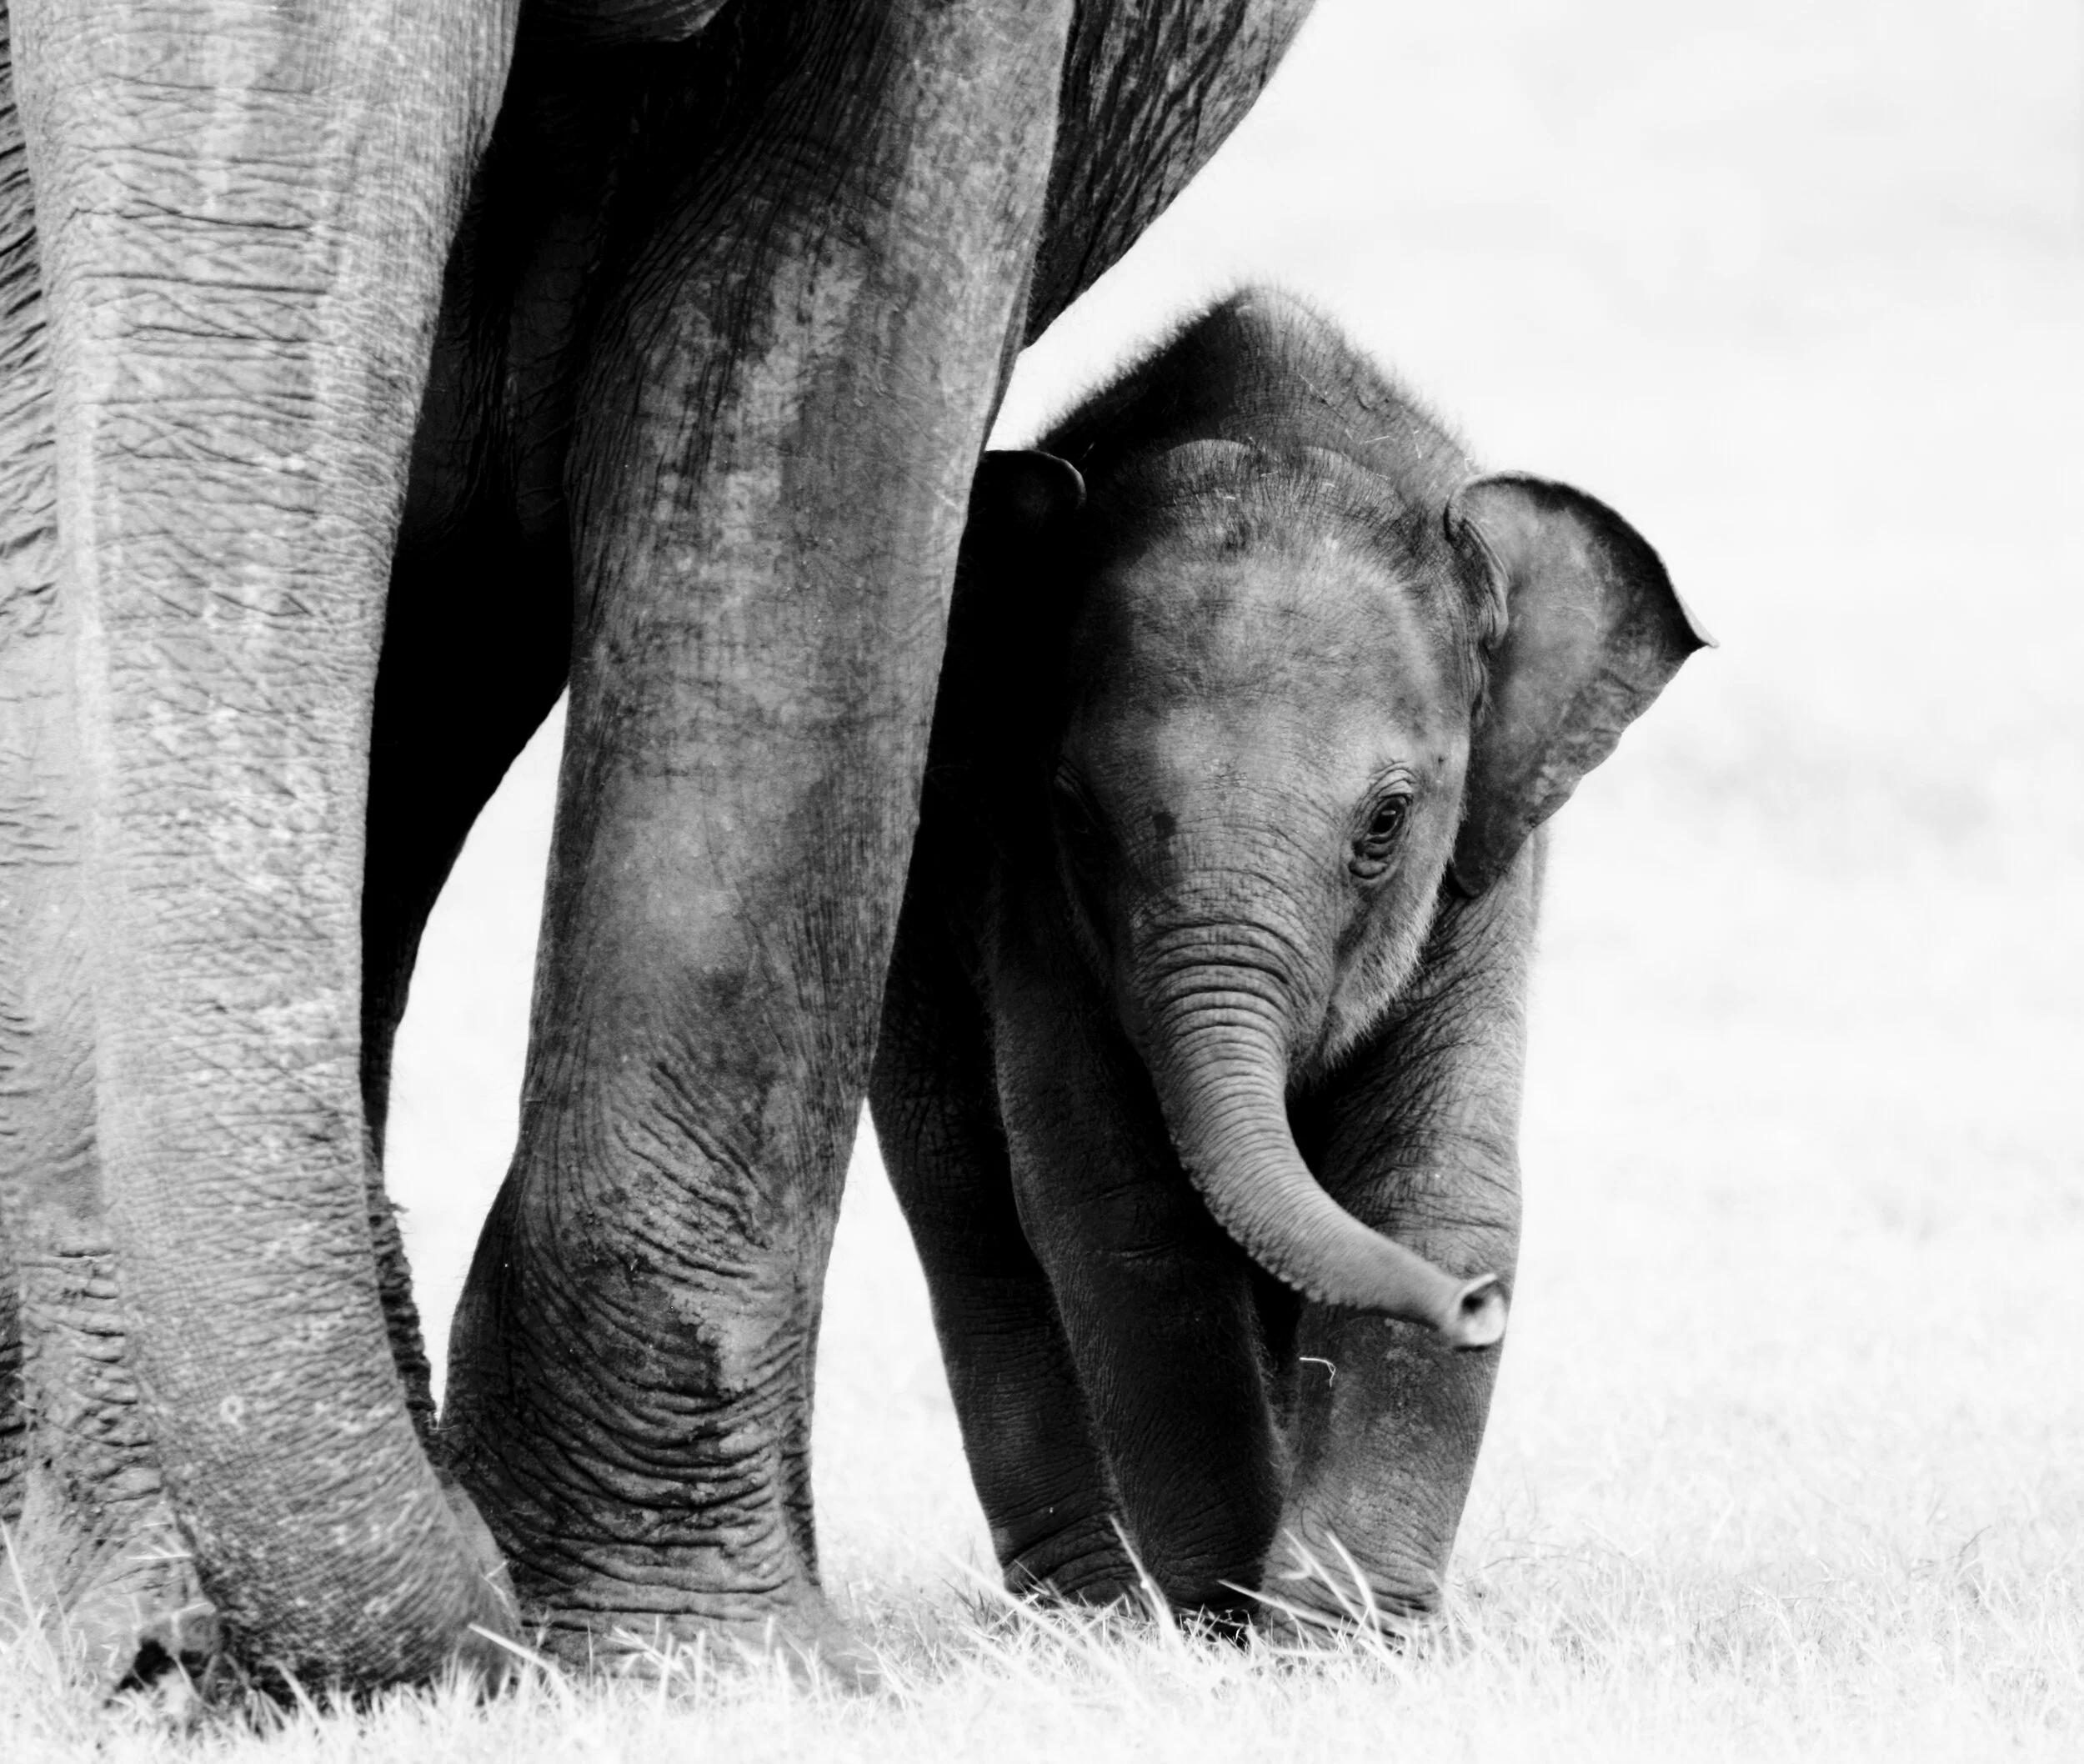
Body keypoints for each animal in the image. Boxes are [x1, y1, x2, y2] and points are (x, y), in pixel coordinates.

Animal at [868, 289, 1708, 1629]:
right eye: (1077, 812)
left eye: (1388, 821)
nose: (1478, 1314)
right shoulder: (1023, 878)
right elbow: (1114, 1198)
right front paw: (1228, 1625)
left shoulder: (1487, 869)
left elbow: (1432, 1185)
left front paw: (1339, 1635)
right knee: (965, 1203)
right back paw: (1088, 1613)